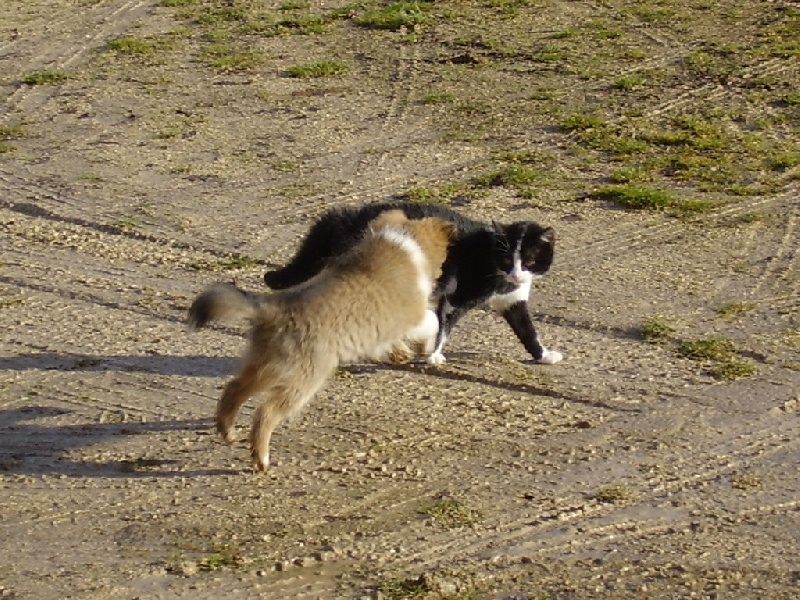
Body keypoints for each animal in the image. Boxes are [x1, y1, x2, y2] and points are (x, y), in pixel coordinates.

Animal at [184, 213, 454, 472]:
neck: (402, 244)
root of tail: (273, 310)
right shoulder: (412, 314)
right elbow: (432, 321)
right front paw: (431, 351)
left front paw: (403, 352)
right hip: (303, 378)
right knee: (265, 413)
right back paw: (262, 459)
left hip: (266, 366)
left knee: (234, 388)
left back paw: (228, 432)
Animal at [264, 200, 564, 366]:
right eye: (506, 259)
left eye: (529, 260)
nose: (515, 274)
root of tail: (352, 216)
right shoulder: (458, 293)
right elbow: (444, 323)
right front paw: (434, 355)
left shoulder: (512, 300)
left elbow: (528, 331)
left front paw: (543, 355)